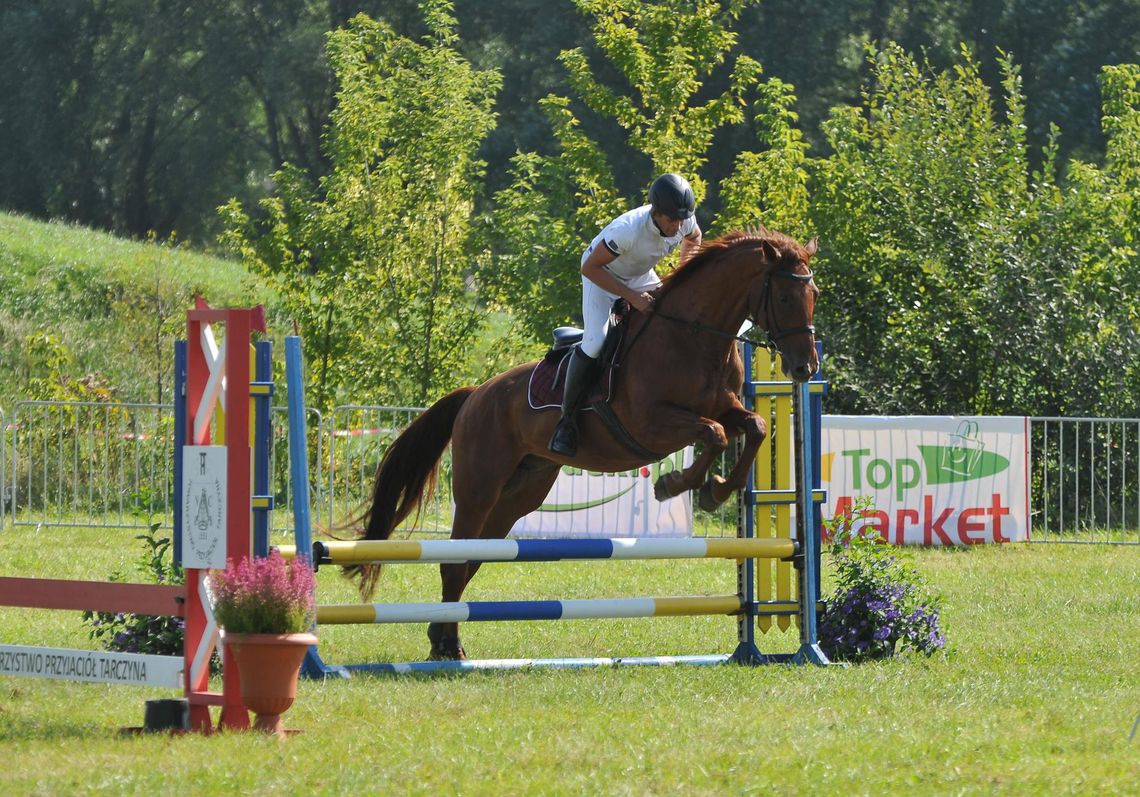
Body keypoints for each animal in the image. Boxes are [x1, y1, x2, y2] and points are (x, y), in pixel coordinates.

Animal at [348, 229, 820, 661]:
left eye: (812, 293)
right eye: (783, 297)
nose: (805, 368)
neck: (693, 338)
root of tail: (475, 394)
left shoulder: (725, 408)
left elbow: (754, 426)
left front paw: (716, 490)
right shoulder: (650, 423)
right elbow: (714, 434)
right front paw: (675, 485)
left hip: (518, 495)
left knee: (471, 561)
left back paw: (444, 638)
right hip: (479, 488)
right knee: (453, 558)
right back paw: (446, 646)